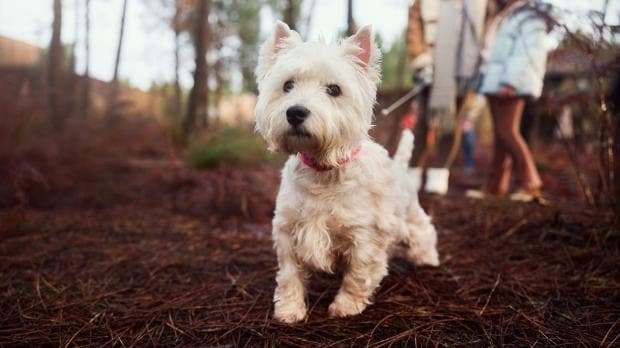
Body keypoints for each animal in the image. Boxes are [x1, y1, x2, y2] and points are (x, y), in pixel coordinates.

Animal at [254, 21, 438, 324]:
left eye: (334, 89)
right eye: (288, 85)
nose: (295, 112)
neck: (323, 170)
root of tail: (399, 165)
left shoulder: (364, 237)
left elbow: (358, 275)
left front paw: (346, 307)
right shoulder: (288, 231)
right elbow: (290, 275)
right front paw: (289, 311)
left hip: (411, 216)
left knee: (425, 234)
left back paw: (428, 260)